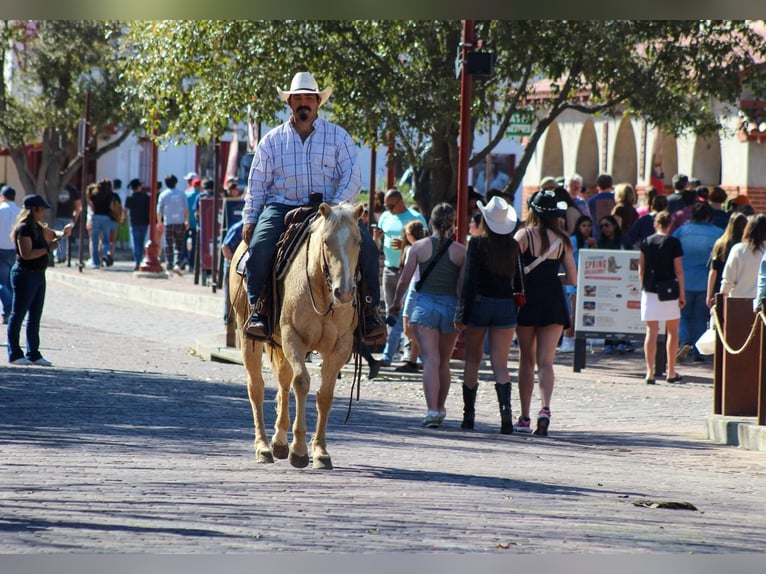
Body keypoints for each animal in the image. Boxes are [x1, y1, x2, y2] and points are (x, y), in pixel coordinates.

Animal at [229, 202, 364, 470]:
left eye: (358, 241)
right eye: (326, 241)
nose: (344, 293)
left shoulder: (340, 347)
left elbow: (325, 395)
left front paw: (320, 451)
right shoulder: (294, 337)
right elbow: (301, 382)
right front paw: (299, 450)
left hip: (279, 344)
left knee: (283, 381)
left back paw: (279, 441)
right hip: (248, 335)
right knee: (257, 387)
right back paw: (263, 447)